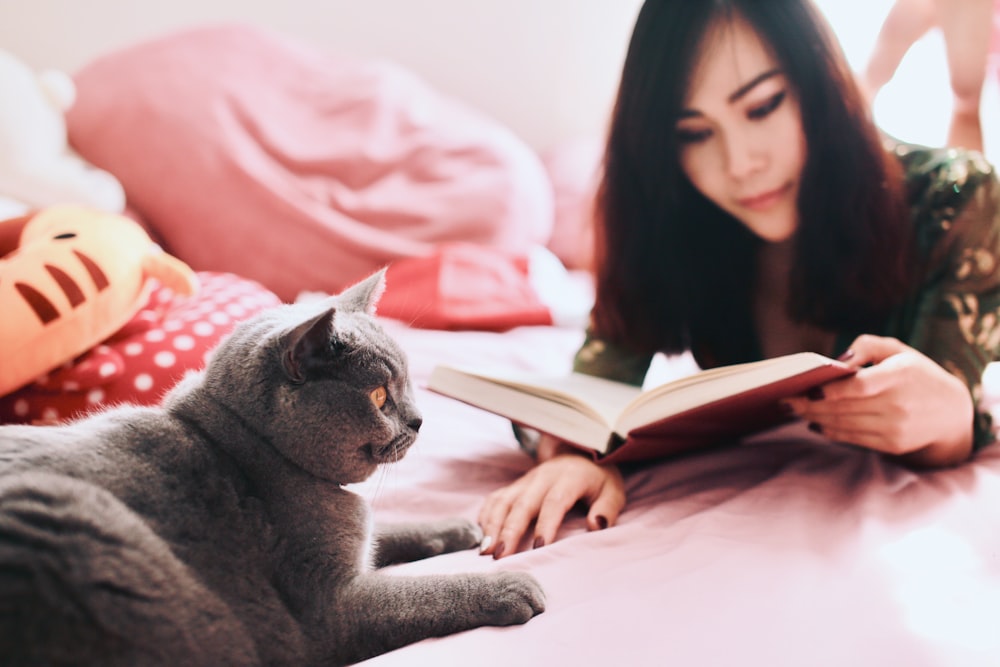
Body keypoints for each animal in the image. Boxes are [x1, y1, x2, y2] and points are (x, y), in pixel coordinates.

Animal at [0, 272, 548, 667]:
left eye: (409, 382)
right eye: (378, 396)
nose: (419, 419)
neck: (257, 451)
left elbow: (389, 533)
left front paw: (461, 528)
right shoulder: (329, 607)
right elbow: (422, 593)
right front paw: (512, 586)